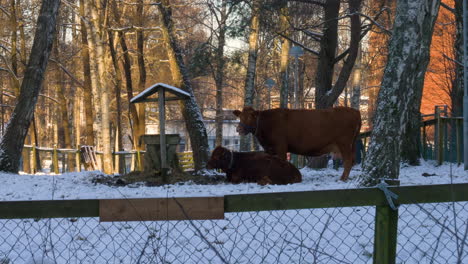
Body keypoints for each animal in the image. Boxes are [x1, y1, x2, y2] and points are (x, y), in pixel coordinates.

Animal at [234, 105, 362, 182]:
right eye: (240, 117)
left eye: (250, 117)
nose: (238, 129)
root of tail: (354, 111)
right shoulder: (269, 149)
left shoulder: (281, 147)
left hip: (344, 144)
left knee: (348, 161)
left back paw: (343, 178)